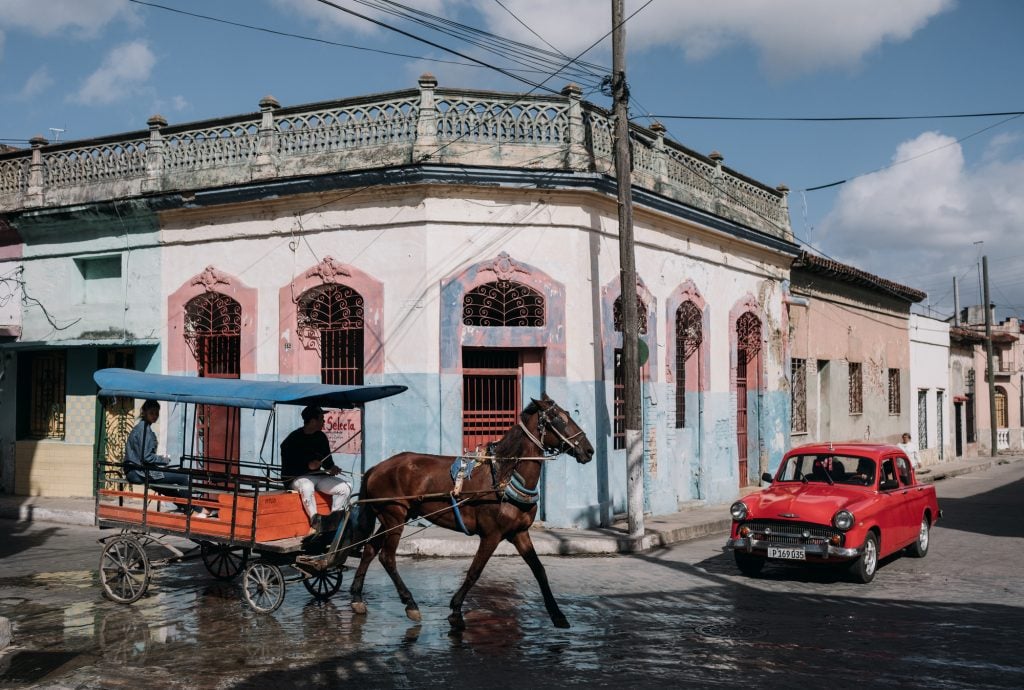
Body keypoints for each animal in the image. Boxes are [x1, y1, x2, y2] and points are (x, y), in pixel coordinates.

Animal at [348, 393, 598, 630]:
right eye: (558, 418)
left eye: (568, 414)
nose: (589, 450)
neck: (506, 476)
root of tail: (375, 468)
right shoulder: (491, 535)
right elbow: (475, 571)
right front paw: (456, 611)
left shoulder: (519, 533)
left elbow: (539, 570)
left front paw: (558, 615)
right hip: (394, 516)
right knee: (387, 557)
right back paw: (410, 604)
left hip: (392, 518)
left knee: (369, 550)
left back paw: (357, 598)